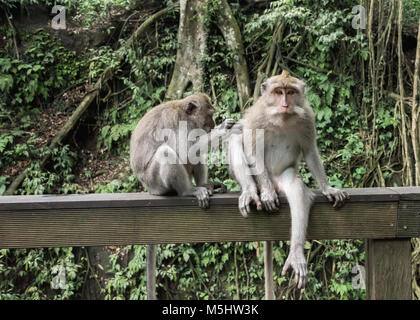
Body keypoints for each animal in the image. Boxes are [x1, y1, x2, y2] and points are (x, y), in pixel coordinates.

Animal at [130, 93, 238, 300]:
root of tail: (149, 189)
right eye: (210, 114)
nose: (212, 124)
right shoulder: (180, 124)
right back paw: (188, 191)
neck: (185, 114)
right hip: (156, 182)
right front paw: (223, 129)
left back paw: (205, 184)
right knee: (167, 152)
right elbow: (185, 152)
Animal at [228, 70, 350, 290]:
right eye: (278, 92)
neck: (281, 118)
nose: (285, 104)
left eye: (291, 92)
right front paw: (267, 194)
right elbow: (251, 147)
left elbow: (310, 150)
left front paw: (327, 188)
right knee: (236, 137)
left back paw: (296, 253)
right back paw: (252, 190)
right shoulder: (257, 116)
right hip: (260, 178)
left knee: (295, 187)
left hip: (282, 177)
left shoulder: (308, 117)